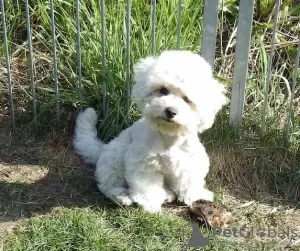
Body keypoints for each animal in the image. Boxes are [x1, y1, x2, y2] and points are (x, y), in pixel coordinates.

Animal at [73, 50, 227, 213]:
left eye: (187, 99)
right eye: (163, 90)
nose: (170, 111)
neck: (168, 138)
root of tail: (102, 148)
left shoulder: (190, 162)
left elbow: (189, 181)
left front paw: (194, 195)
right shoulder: (144, 164)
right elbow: (147, 186)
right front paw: (150, 204)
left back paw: (167, 194)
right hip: (115, 157)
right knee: (107, 184)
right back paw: (121, 196)